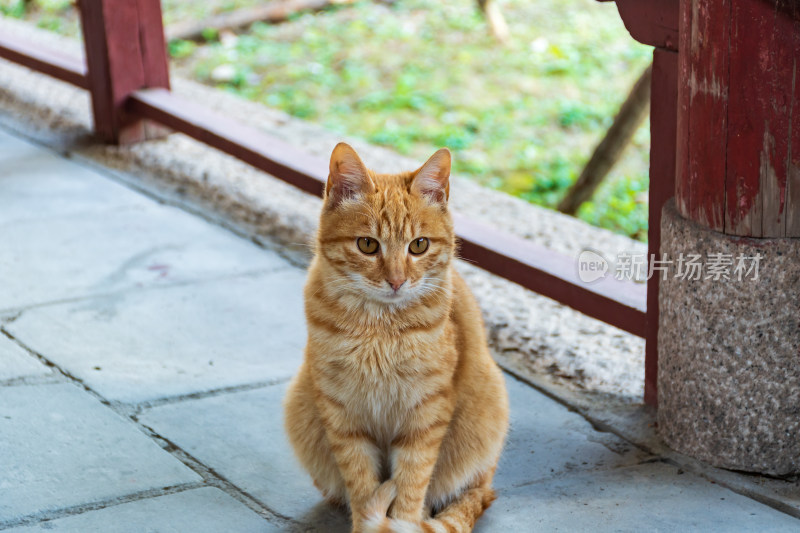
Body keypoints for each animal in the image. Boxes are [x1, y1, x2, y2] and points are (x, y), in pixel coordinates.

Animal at [284, 142, 510, 532]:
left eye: (418, 245)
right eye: (367, 245)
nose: (396, 281)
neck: (380, 331)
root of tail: (489, 484)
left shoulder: (425, 416)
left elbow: (411, 484)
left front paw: (400, 520)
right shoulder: (343, 415)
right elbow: (361, 485)